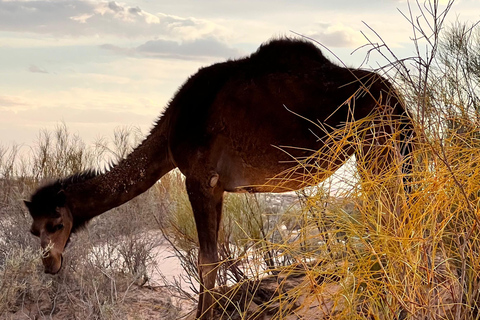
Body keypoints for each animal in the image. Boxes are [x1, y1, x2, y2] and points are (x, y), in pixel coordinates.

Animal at [24, 38, 412, 318]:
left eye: (56, 224)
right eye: (33, 229)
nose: (49, 264)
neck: (172, 128)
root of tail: (395, 96)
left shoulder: (198, 177)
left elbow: (206, 259)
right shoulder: (219, 187)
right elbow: (218, 257)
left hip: (376, 142)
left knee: (391, 214)